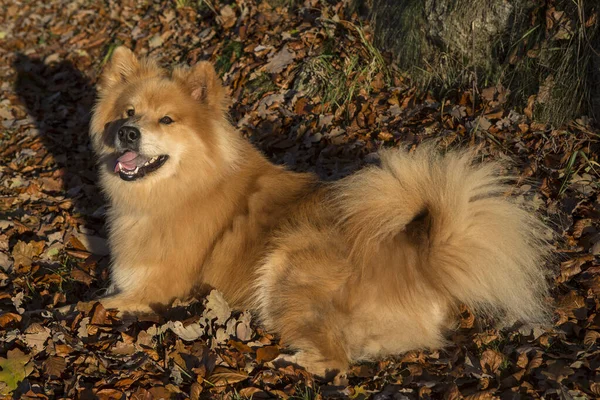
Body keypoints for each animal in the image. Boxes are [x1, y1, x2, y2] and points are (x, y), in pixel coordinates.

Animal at [89, 46, 552, 376]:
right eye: (129, 112)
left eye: (166, 120)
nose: (128, 132)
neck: (188, 185)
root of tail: (418, 258)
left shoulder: (157, 291)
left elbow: (96, 303)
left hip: (288, 262)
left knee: (338, 360)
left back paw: (293, 362)